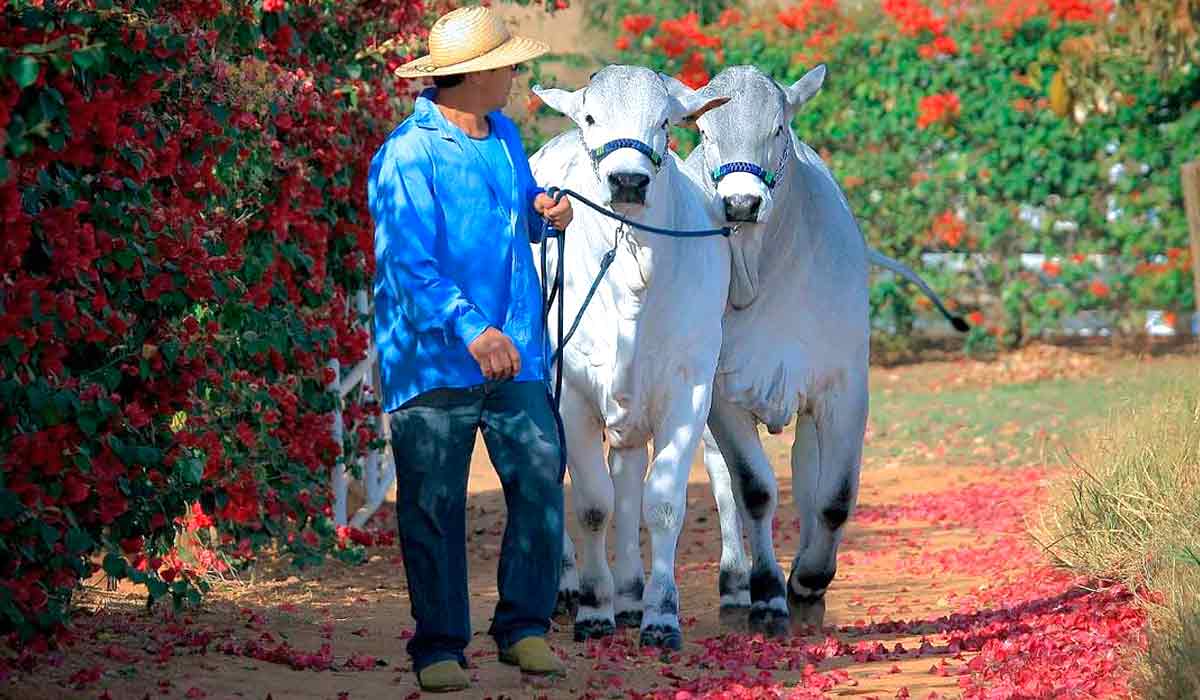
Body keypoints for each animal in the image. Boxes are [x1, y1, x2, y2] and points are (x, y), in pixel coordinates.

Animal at [532, 67, 729, 653]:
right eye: (592, 117)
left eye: (664, 121)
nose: (627, 182)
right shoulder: (570, 395)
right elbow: (592, 504)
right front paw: (593, 607)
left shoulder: (689, 391)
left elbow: (659, 504)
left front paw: (660, 614)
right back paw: (569, 587)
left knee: (626, 479)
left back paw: (630, 593)